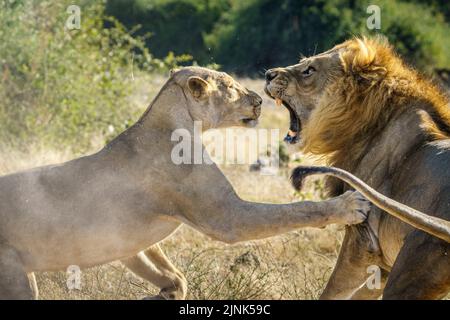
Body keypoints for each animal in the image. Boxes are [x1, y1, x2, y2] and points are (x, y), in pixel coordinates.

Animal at [0, 66, 370, 298]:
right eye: (231, 86)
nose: (258, 100)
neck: (181, 123)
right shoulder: (226, 216)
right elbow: (292, 211)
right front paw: (347, 205)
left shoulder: (130, 237)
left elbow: (173, 277)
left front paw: (163, 293)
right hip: (15, 275)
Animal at [266, 37, 450, 300]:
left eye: (309, 70)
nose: (268, 74)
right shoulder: (384, 265)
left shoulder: (363, 241)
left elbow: (332, 291)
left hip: (410, 270)